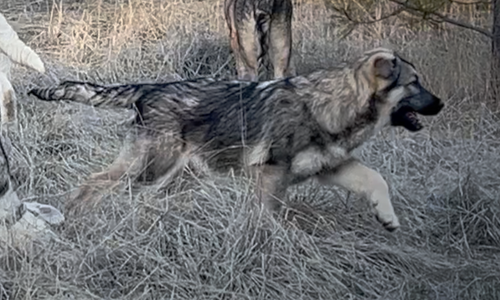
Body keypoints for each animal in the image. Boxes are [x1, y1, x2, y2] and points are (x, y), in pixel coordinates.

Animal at [30, 48, 446, 232]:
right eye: (415, 83)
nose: (441, 104)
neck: (332, 106)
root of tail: (150, 87)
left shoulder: (332, 166)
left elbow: (377, 180)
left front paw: (388, 217)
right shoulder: (271, 174)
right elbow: (271, 216)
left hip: (180, 176)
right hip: (150, 169)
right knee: (95, 182)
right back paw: (76, 216)